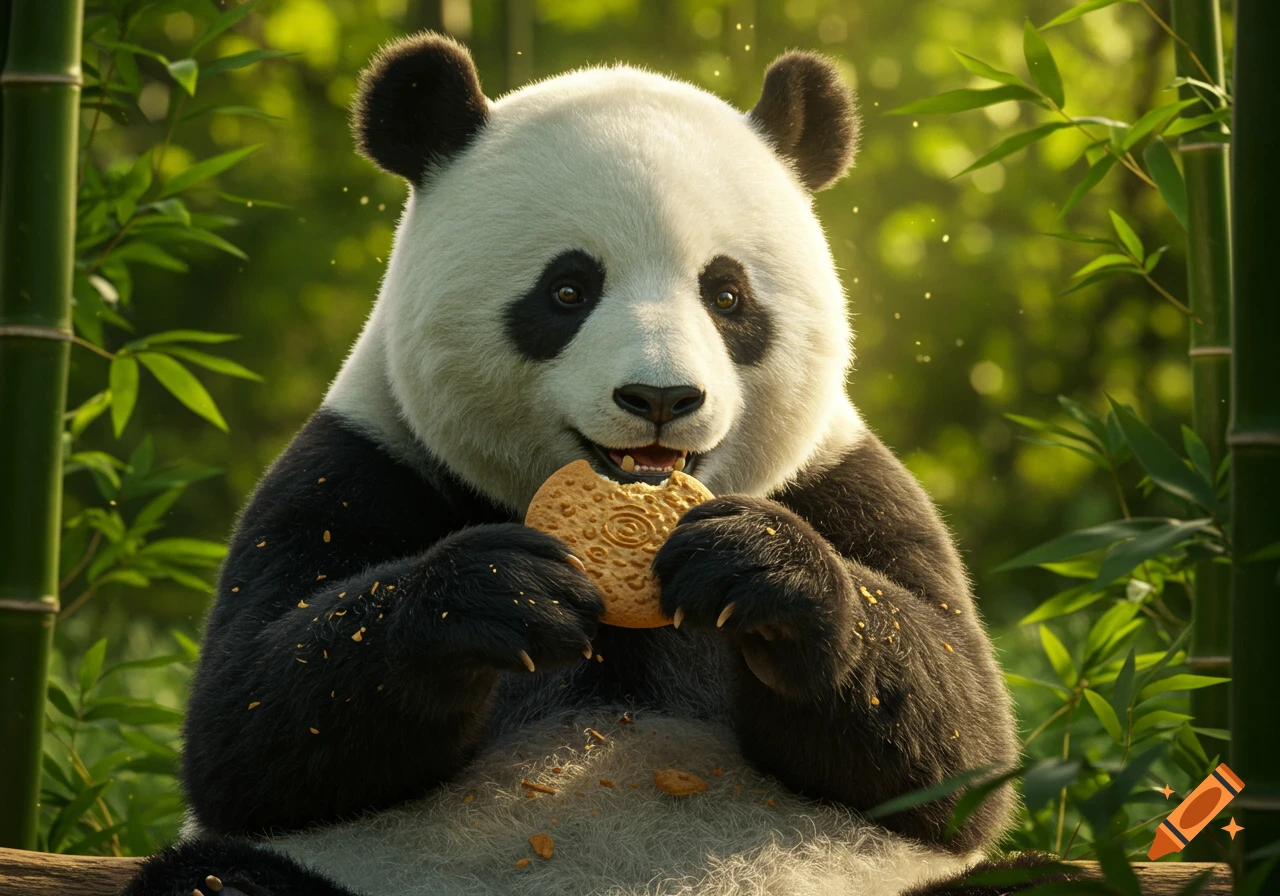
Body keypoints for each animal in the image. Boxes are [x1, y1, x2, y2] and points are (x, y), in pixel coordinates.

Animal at [122, 32, 1031, 896]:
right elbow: (246, 728)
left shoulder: (840, 479)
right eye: (567, 290)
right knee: (216, 879)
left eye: (727, 296)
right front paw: (499, 593)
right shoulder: (363, 465)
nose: (661, 396)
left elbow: (957, 743)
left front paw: (758, 565)